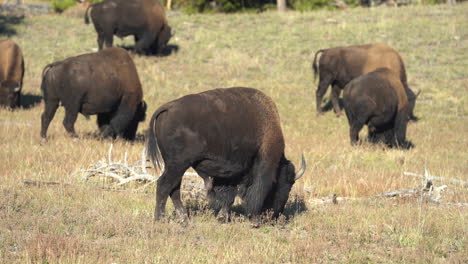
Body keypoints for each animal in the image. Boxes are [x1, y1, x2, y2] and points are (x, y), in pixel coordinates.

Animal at [147, 87, 308, 223]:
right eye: (284, 184)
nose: (276, 215)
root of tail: (168, 108)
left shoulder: (228, 174)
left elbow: (228, 196)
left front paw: (223, 217)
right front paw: (251, 219)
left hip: (177, 166)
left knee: (174, 188)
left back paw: (184, 218)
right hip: (178, 164)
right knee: (164, 185)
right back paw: (160, 219)